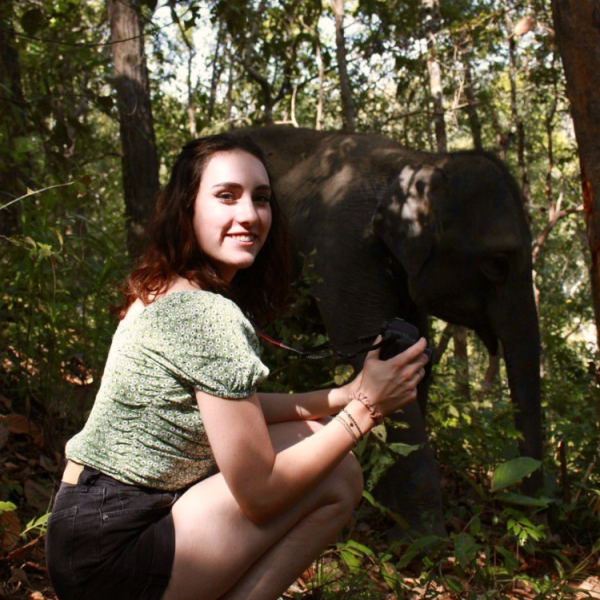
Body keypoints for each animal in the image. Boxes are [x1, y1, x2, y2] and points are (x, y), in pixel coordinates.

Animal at [241, 124, 540, 536]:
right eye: (496, 262)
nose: (542, 518)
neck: (418, 162)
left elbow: (419, 367)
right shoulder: (344, 250)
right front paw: (426, 540)